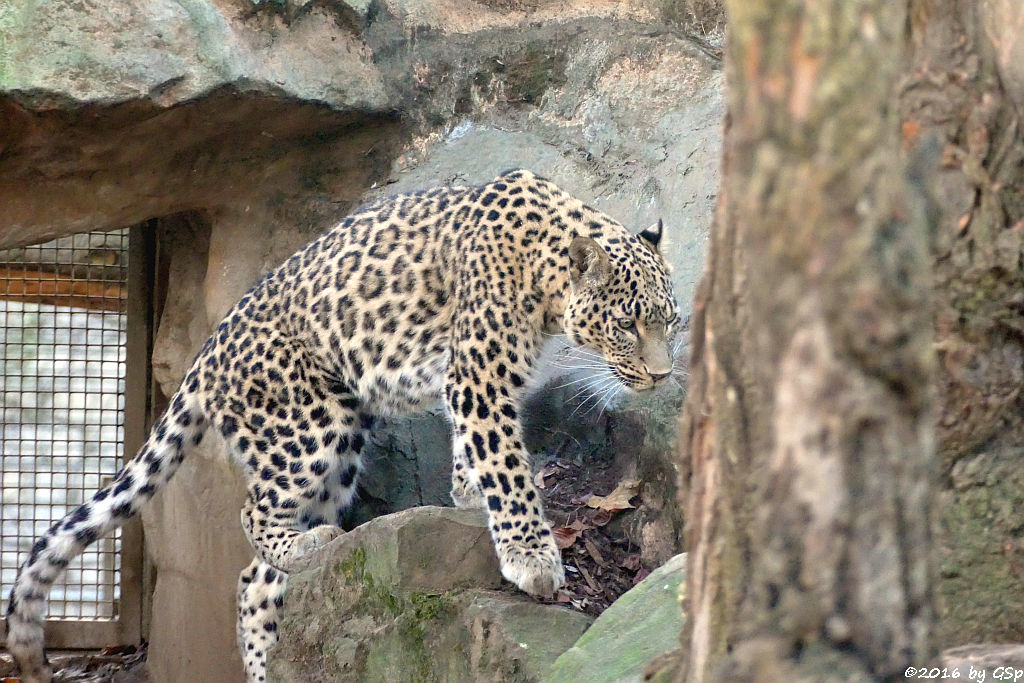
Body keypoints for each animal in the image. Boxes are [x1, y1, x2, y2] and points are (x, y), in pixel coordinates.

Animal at [8, 167, 684, 679]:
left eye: (671, 321)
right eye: (628, 324)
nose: (661, 377)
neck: (544, 281)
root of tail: (206, 352)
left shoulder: (475, 379)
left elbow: (475, 451)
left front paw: (466, 493)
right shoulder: (479, 375)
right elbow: (505, 464)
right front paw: (532, 558)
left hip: (337, 450)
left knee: (256, 579)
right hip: (310, 425)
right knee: (253, 516)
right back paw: (302, 549)